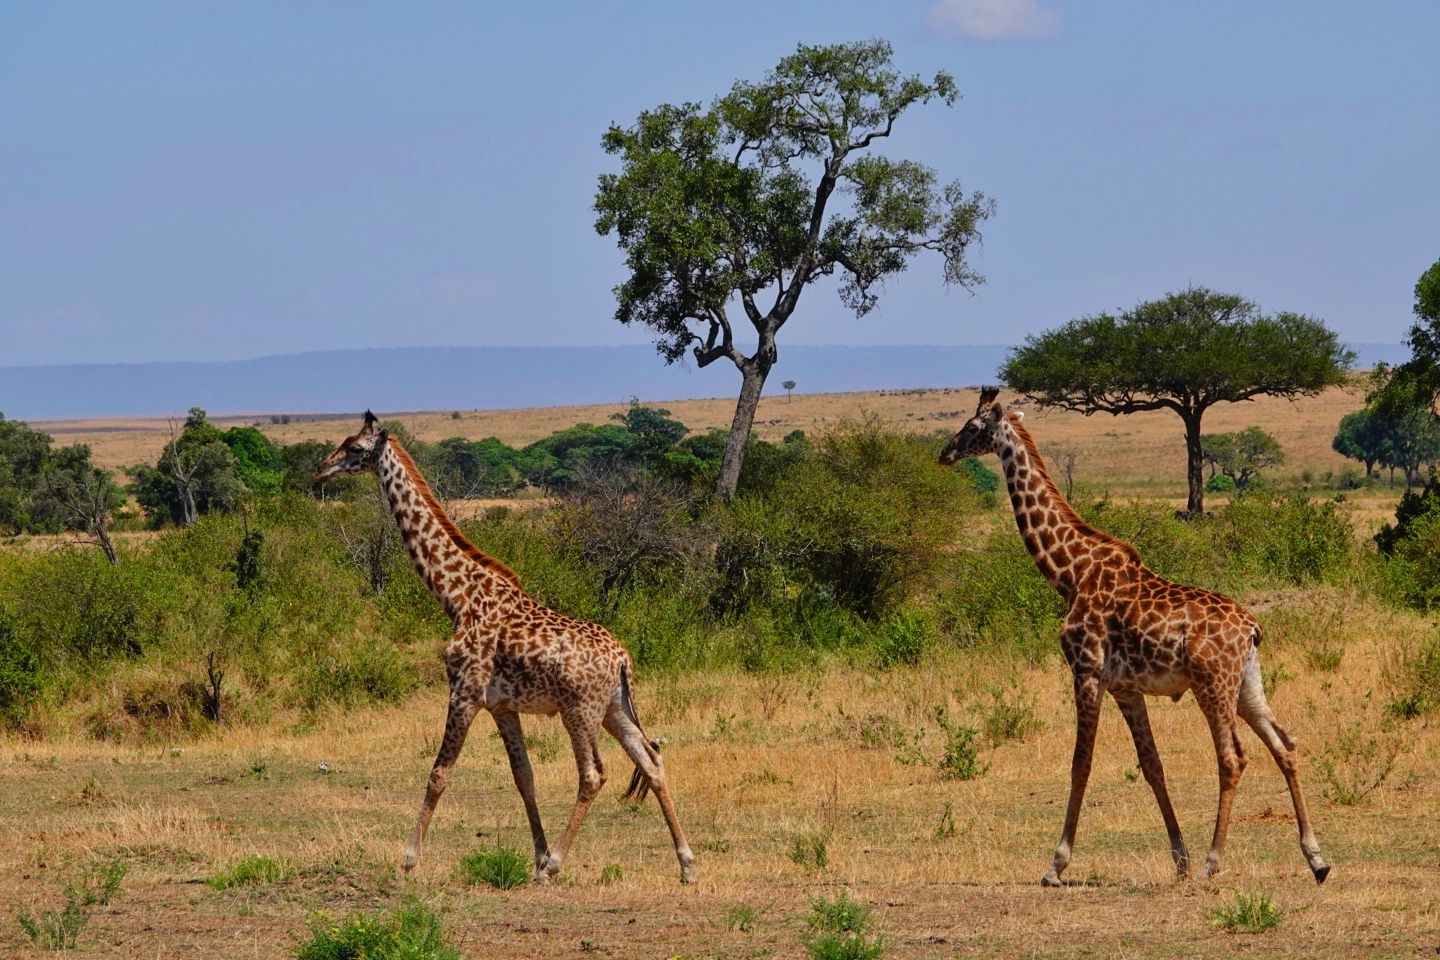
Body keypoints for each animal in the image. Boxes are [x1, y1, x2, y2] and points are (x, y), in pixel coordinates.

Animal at [315, 414, 696, 886]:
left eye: (353, 448)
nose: (319, 471)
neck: (457, 597)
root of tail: (623, 659)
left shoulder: (464, 692)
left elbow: (439, 773)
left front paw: (409, 858)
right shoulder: (501, 705)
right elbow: (524, 777)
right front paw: (537, 853)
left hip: (580, 709)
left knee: (593, 774)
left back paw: (555, 868)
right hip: (614, 708)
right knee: (652, 762)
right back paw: (686, 863)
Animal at [933, 388, 1324, 886]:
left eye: (971, 427)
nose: (944, 453)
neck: (1071, 573)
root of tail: (1252, 628)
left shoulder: (1086, 671)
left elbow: (1080, 764)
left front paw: (1056, 864)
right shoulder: (1125, 688)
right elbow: (1152, 765)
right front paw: (1179, 858)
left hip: (1212, 685)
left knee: (1232, 757)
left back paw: (1214, 862)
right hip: (1247, 685)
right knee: (1285, 746)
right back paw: (1317, 859)